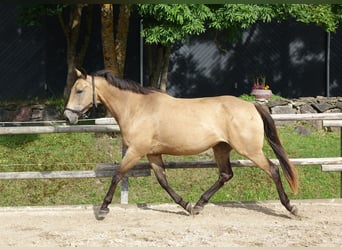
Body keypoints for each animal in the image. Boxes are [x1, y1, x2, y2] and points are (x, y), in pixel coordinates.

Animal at [64, 68, 300, 219]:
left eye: (79, 90)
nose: (68, 117)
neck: (138, 108)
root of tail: (252, 106)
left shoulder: (136, 151)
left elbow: (117, 175)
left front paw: (103, 209)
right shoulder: (152, 154)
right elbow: (163, 181)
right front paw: (186, 205)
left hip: (250, 150)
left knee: (273, 169)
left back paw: (291, 207)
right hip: (221, 148)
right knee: (226, 174)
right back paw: (199, 205)